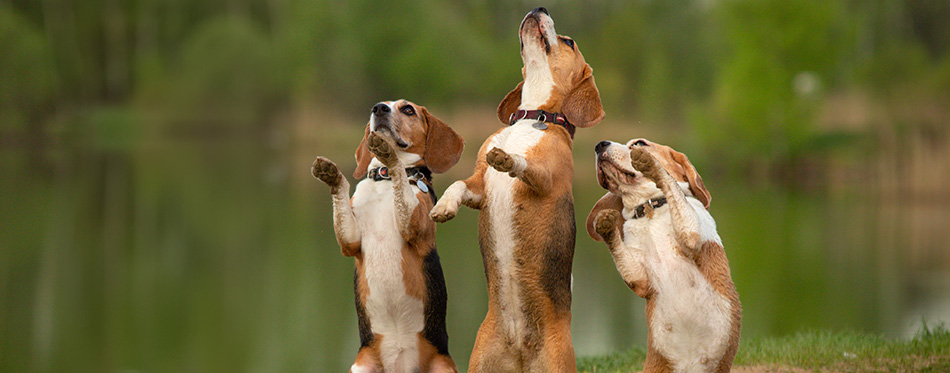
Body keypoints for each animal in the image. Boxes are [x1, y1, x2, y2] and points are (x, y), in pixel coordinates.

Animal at [312, 99, 464, 372]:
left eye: (408, 109)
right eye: (381, 106)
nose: (379, 108)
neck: (384, 182)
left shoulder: (414, 225)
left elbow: (400, 174)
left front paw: (389, 154)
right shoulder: (350, 240)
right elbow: (341, 196)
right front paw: (332, 175)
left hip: (442, 367)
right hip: (360, 367)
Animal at [588, 138, 744, 370]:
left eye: (639, 143)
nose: (599, 145)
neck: (651, 209)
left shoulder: (691, 234)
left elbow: (670, 184)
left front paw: (652, 166)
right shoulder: (639, 277)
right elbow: (617, 247)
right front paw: (605, 224)